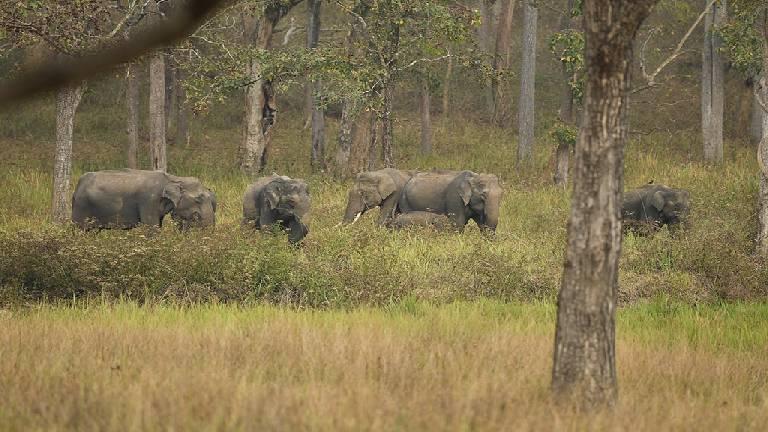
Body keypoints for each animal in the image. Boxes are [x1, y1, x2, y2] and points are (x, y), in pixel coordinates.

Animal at [71, 168, 216, 230]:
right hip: (81, 207)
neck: (173, 178)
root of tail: (78, 184)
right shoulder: (148, 201)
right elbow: (152, 228)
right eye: (199, 198)